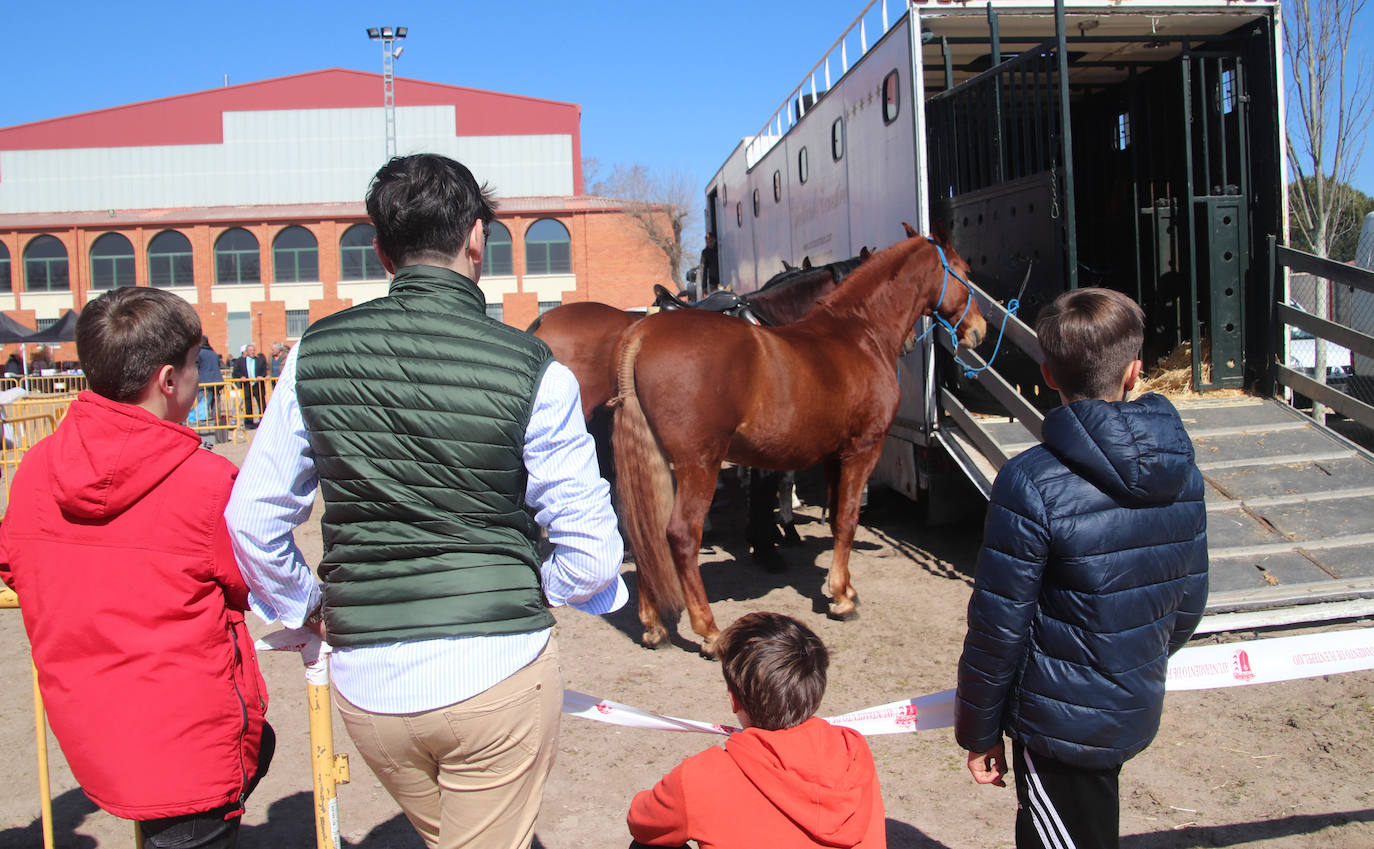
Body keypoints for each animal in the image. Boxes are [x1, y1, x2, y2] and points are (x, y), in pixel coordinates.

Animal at [612, 226, 989, 653]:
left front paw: (841, 586)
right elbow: (848, 517)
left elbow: (835, 517)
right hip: (699, 464)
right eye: (964, 272)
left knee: (644, 532)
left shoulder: (832, 455)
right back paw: (709, 630)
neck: (857, 334)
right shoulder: (862, 449)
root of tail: (642, 334)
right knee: (680, 535)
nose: (979, 329)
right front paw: (841, 598)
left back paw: (654, 625)